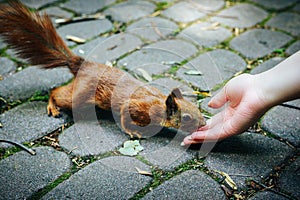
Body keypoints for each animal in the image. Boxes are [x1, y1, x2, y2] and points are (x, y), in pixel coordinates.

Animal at [0, 1, 206, 138]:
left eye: (197, 108)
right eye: (187, 117)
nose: (204, 123)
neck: (160, 105)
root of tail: (83, 65)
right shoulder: (138, 107)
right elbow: (124, 116)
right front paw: (132, 131)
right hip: (81, 95)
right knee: (57, 92)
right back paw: (53, 106)